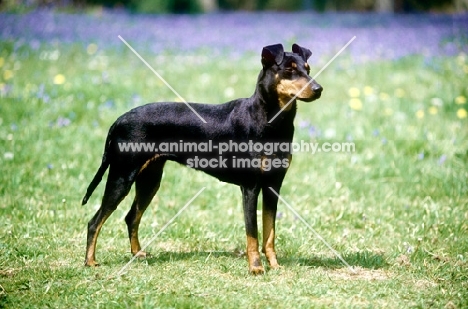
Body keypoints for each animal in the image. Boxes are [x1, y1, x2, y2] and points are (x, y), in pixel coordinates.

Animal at [82, 42, 322, 274]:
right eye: (289, 70)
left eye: (307, 69)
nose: (318, 89)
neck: (270, 120)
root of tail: (118, 120)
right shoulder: (250, 187)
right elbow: (252, 234)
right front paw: (256, 267)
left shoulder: (273, 185)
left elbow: (269, 233)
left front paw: (274, 265)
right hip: (122, 177)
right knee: (95, 221)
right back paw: (90, 261)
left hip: (150, 180)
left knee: (131, 216)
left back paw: (137, 254)